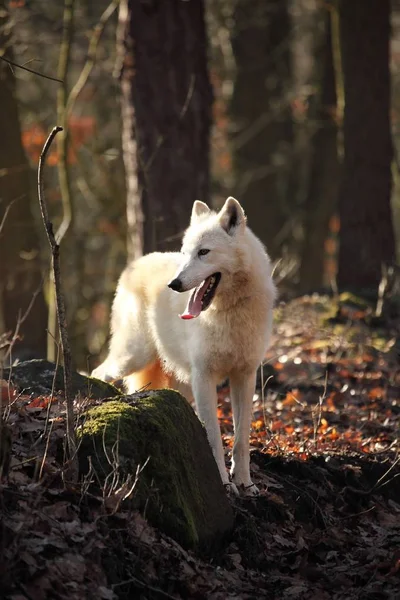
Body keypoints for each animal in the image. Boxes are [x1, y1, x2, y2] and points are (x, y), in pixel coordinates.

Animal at [92, 199, 276, 494]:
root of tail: (135, 263)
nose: (174, 284)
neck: (229, 311)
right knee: (98, 372)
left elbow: (241, 438)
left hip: (177, 381)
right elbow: (213, 434)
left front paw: (245, 483)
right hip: (133, 357)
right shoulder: (204, 377)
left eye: (203, 252)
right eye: (185, 253)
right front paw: (223, 483)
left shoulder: (244, 377)